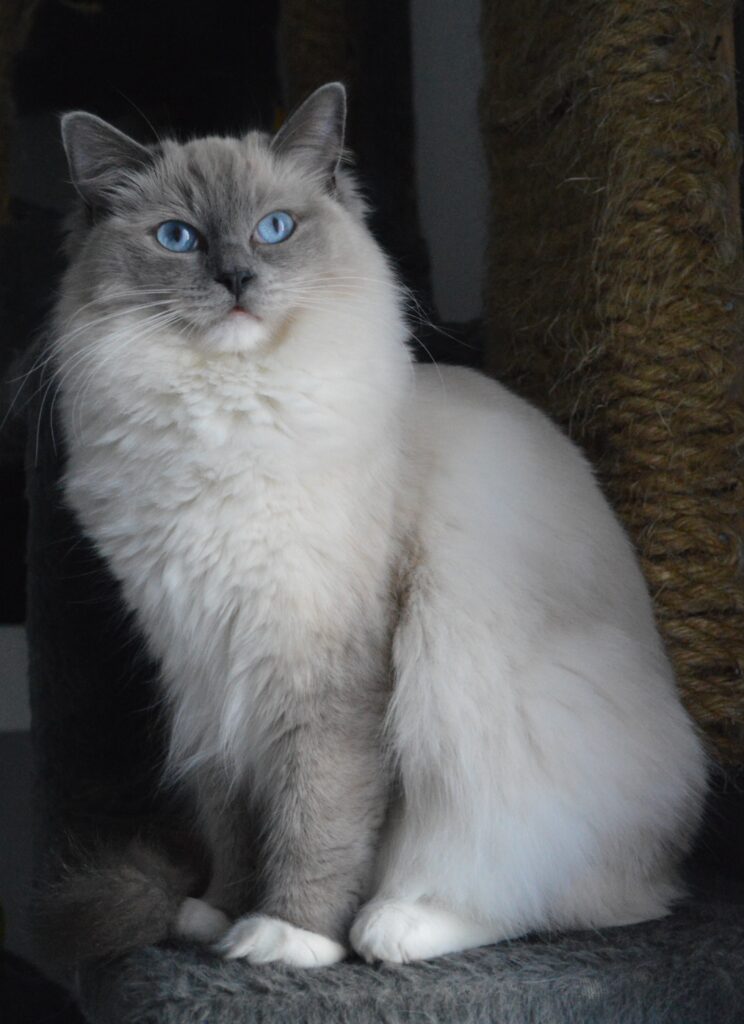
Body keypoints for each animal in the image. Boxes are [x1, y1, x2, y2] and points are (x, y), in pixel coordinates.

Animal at [48, 81, 708, 966]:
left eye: (275, 229)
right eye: (178, 238)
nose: (236, 277)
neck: (222, 423)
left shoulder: (329, 669)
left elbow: (318, 819)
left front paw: (289, 936)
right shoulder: (204, 668)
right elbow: (234, 822)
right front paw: (221, 915)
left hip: (485, 704)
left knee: (542, 895)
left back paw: (390, 924)